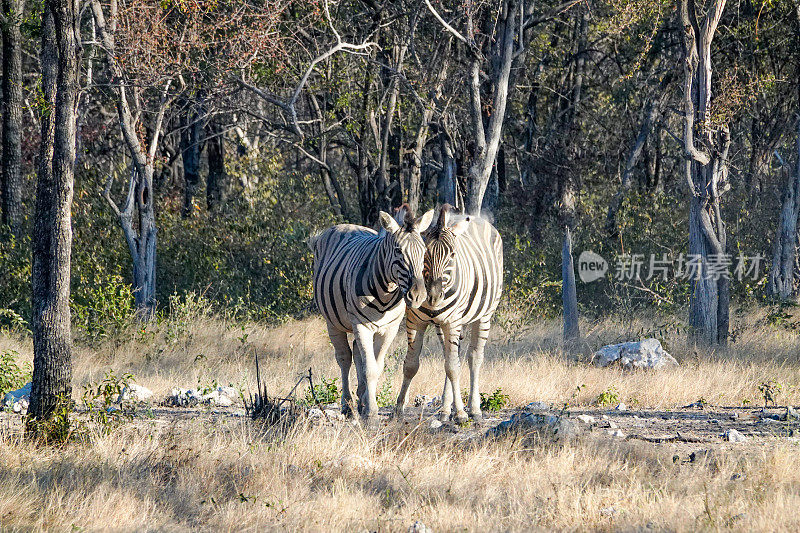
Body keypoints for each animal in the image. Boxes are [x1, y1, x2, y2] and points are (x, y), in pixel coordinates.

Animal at [310, 204, 434, 420]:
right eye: (398, 251)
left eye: (424, 251)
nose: (418, 295)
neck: (385, 294)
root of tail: (345, 225)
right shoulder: (361, 325)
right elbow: (369, 369)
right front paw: (372, 412)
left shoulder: (390, 329)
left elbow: (376, 367)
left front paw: (367, 404)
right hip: (333, 322)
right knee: (344, 358)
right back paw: (347, 405)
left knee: (356, 353)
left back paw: (360, 400)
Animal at [396, 204, 504, 424]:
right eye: (425, 254)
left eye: (452, 255)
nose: (433, 295)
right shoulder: (415, 321)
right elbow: (411, 365)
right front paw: (399, 408)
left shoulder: (452, 322)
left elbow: (453, 367)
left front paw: (461, 413)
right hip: (443, 325)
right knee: (450, 356)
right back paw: (446, 410)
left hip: (483, 316)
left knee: (474, 358)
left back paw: (474, 409)